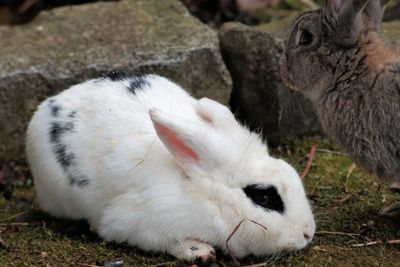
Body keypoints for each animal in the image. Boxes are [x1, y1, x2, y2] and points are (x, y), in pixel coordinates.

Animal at [26, 72, 316, 262]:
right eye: (264, 197)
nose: (307, 233)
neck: (206, 196)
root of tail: (52, 102)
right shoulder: (137, 225)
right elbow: (166, 240)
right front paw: (198, 252)